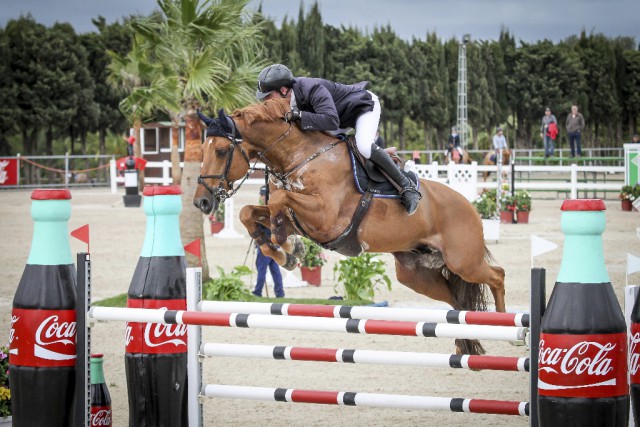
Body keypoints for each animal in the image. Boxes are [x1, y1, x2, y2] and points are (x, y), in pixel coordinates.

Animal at [194, 98, 504, 356]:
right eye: (202, 151)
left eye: (221, 151)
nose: (202, 202)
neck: (300, 155)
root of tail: (469, 206)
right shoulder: (302, 219)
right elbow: (251, 212)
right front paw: (285, 253)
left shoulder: (327, 216)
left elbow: (279, 202)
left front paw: (286, 246)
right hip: (416, 274)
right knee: (457, 301)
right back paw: (465, 344)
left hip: (463, 261)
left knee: (497, 275)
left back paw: (505, 331)